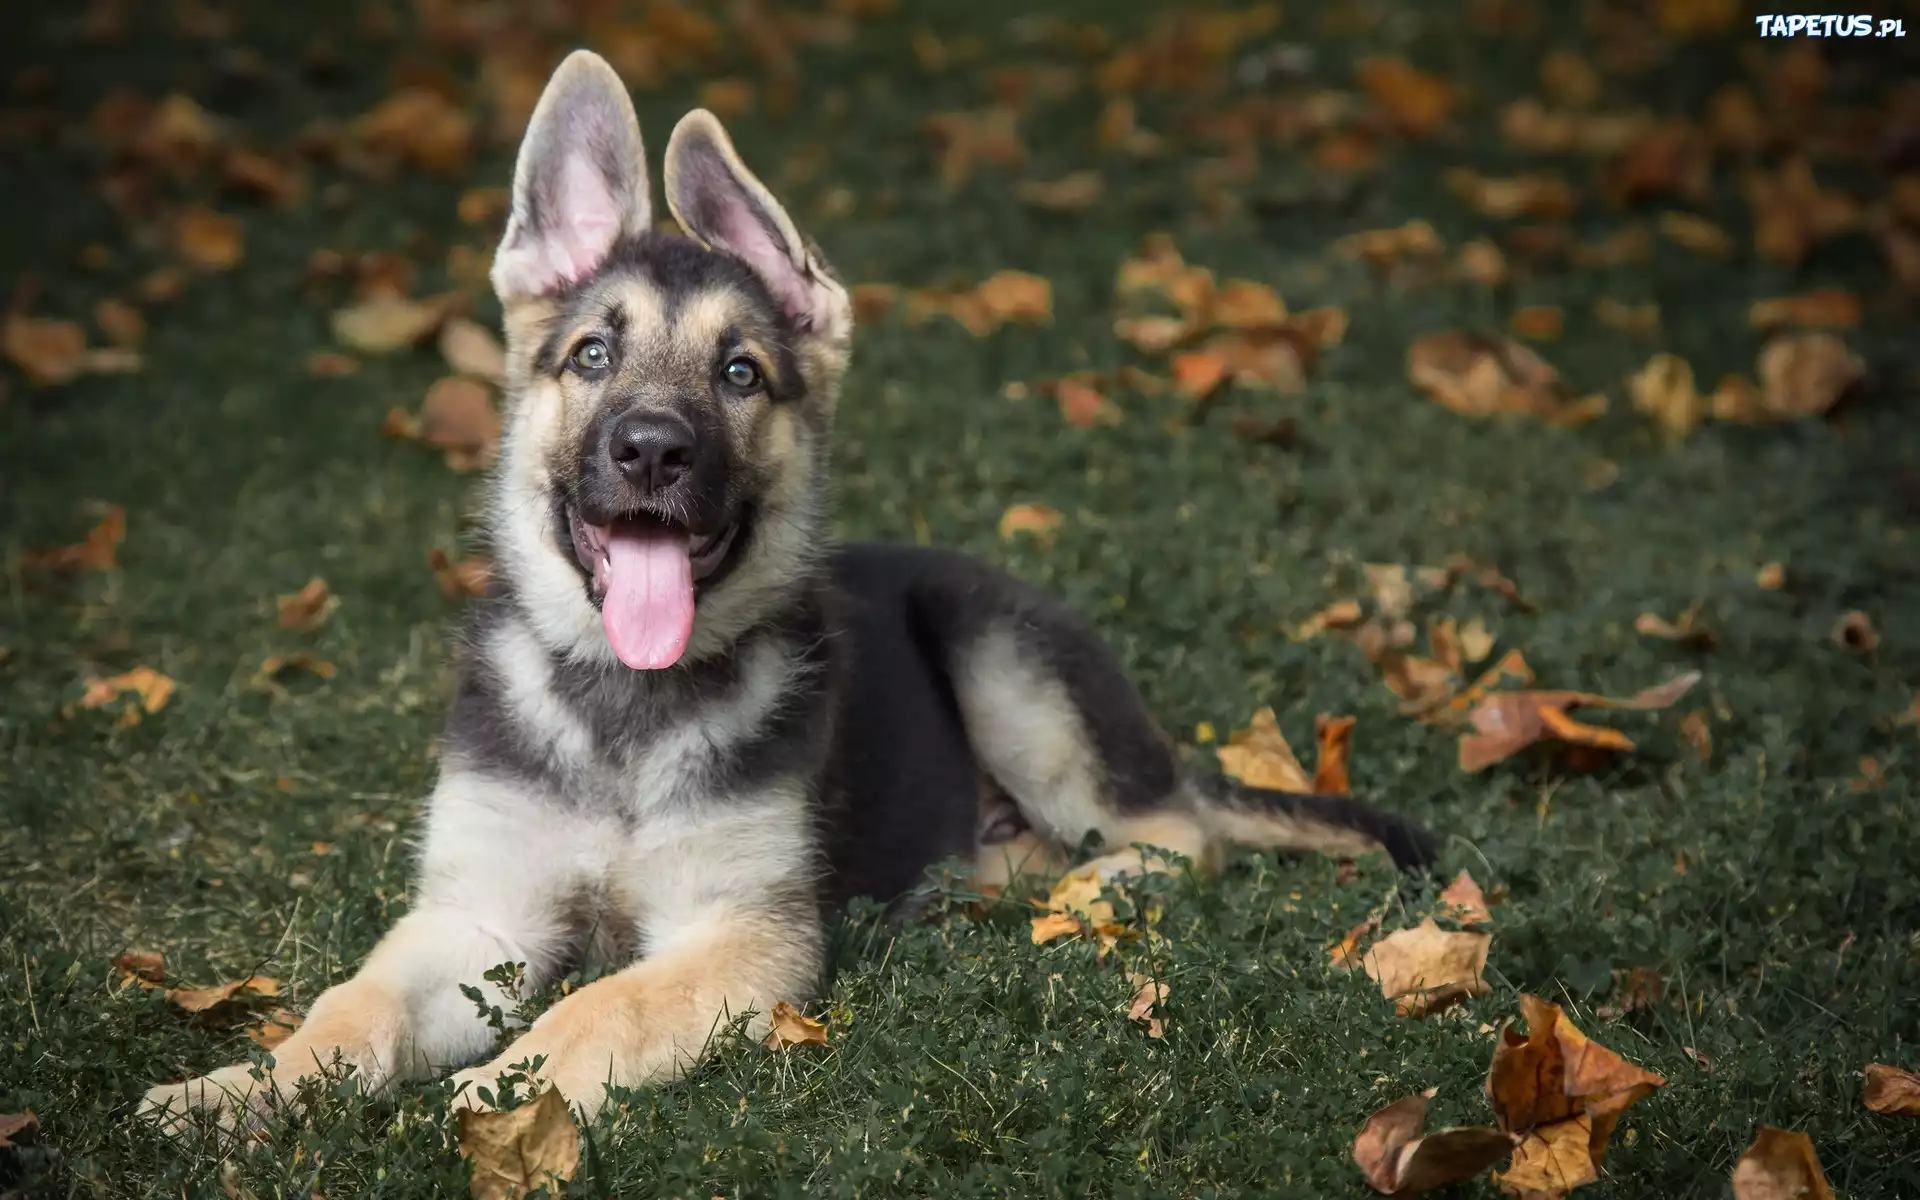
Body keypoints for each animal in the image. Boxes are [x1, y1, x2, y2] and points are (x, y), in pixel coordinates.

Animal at [142, 49, 1436, 1128]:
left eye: (740, 373)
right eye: (592, 356)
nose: (652, 451)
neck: (625, 703)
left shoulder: (746, 932)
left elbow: (607, 999)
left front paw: (513, 1085)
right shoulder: (474, 918)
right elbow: (350, 1005)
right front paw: (237, 1089)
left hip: (1011, 668)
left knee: (1176, 838)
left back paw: (1066, 898)